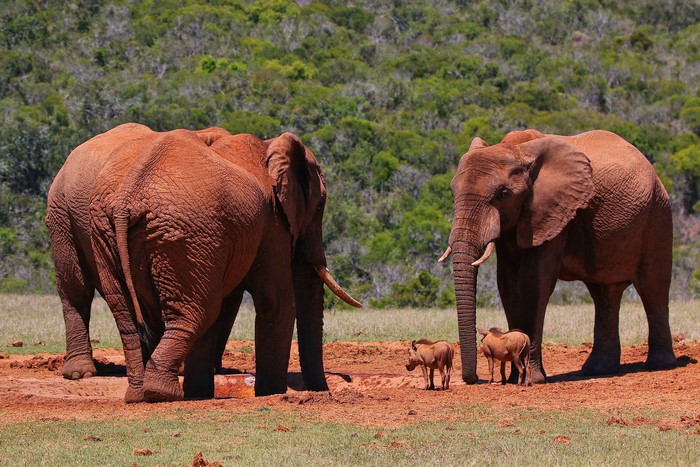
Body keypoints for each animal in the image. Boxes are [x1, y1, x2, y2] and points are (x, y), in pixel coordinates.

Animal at [439, 129, 677, 384]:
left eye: (503, 194)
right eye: (453, 191)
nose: (473, 379)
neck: (516, 149)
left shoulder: (551, 212)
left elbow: (535, 283)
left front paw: (532, 380)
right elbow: (507, 283)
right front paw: (515, 379)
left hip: (658, 214)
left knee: (653, 288)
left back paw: (660, 365)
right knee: (604, 294)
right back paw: (597, 370)